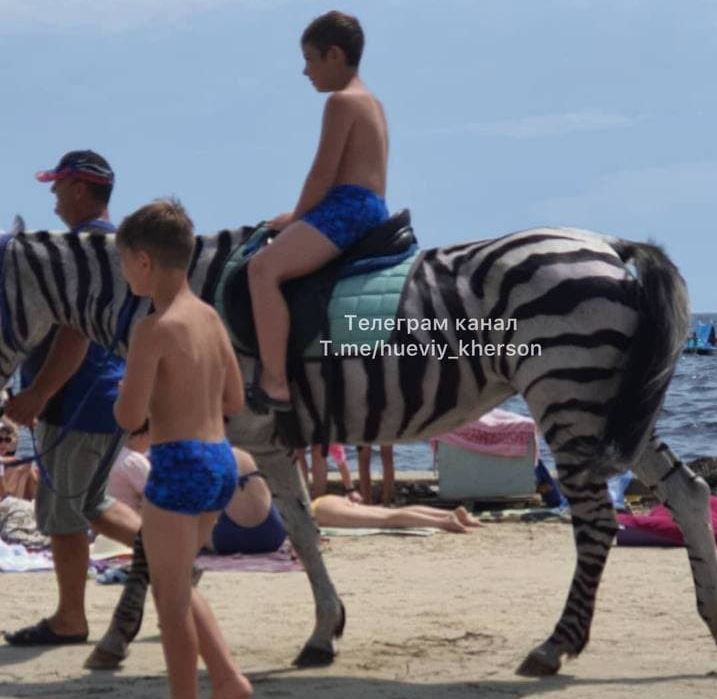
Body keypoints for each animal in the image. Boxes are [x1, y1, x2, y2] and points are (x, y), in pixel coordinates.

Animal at [1, 226, 712, 680]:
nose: (13, 414)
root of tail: (609, 246)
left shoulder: (202, 436)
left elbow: (154, 542)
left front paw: (114, 642)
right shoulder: (269, 446)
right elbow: (304, 533)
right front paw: (324, 633)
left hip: (568, 392)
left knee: (596, 524)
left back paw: (555, 646)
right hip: (611, 405)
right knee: (688, 491)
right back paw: (709, 616)